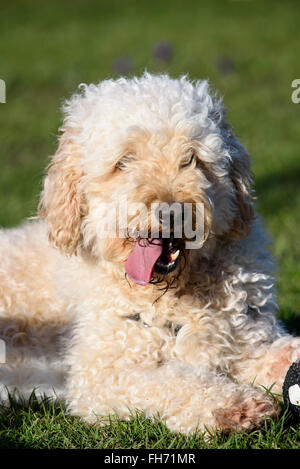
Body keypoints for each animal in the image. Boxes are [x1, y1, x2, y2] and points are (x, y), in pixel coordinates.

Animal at [0, 74, 300, 436]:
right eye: (123, 161)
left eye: (192, 158)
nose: (171, 212)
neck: (171, 293)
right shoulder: (102, 375)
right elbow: (174, 382)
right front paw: (232, 405)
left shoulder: (245, 339)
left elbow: (276, 354)